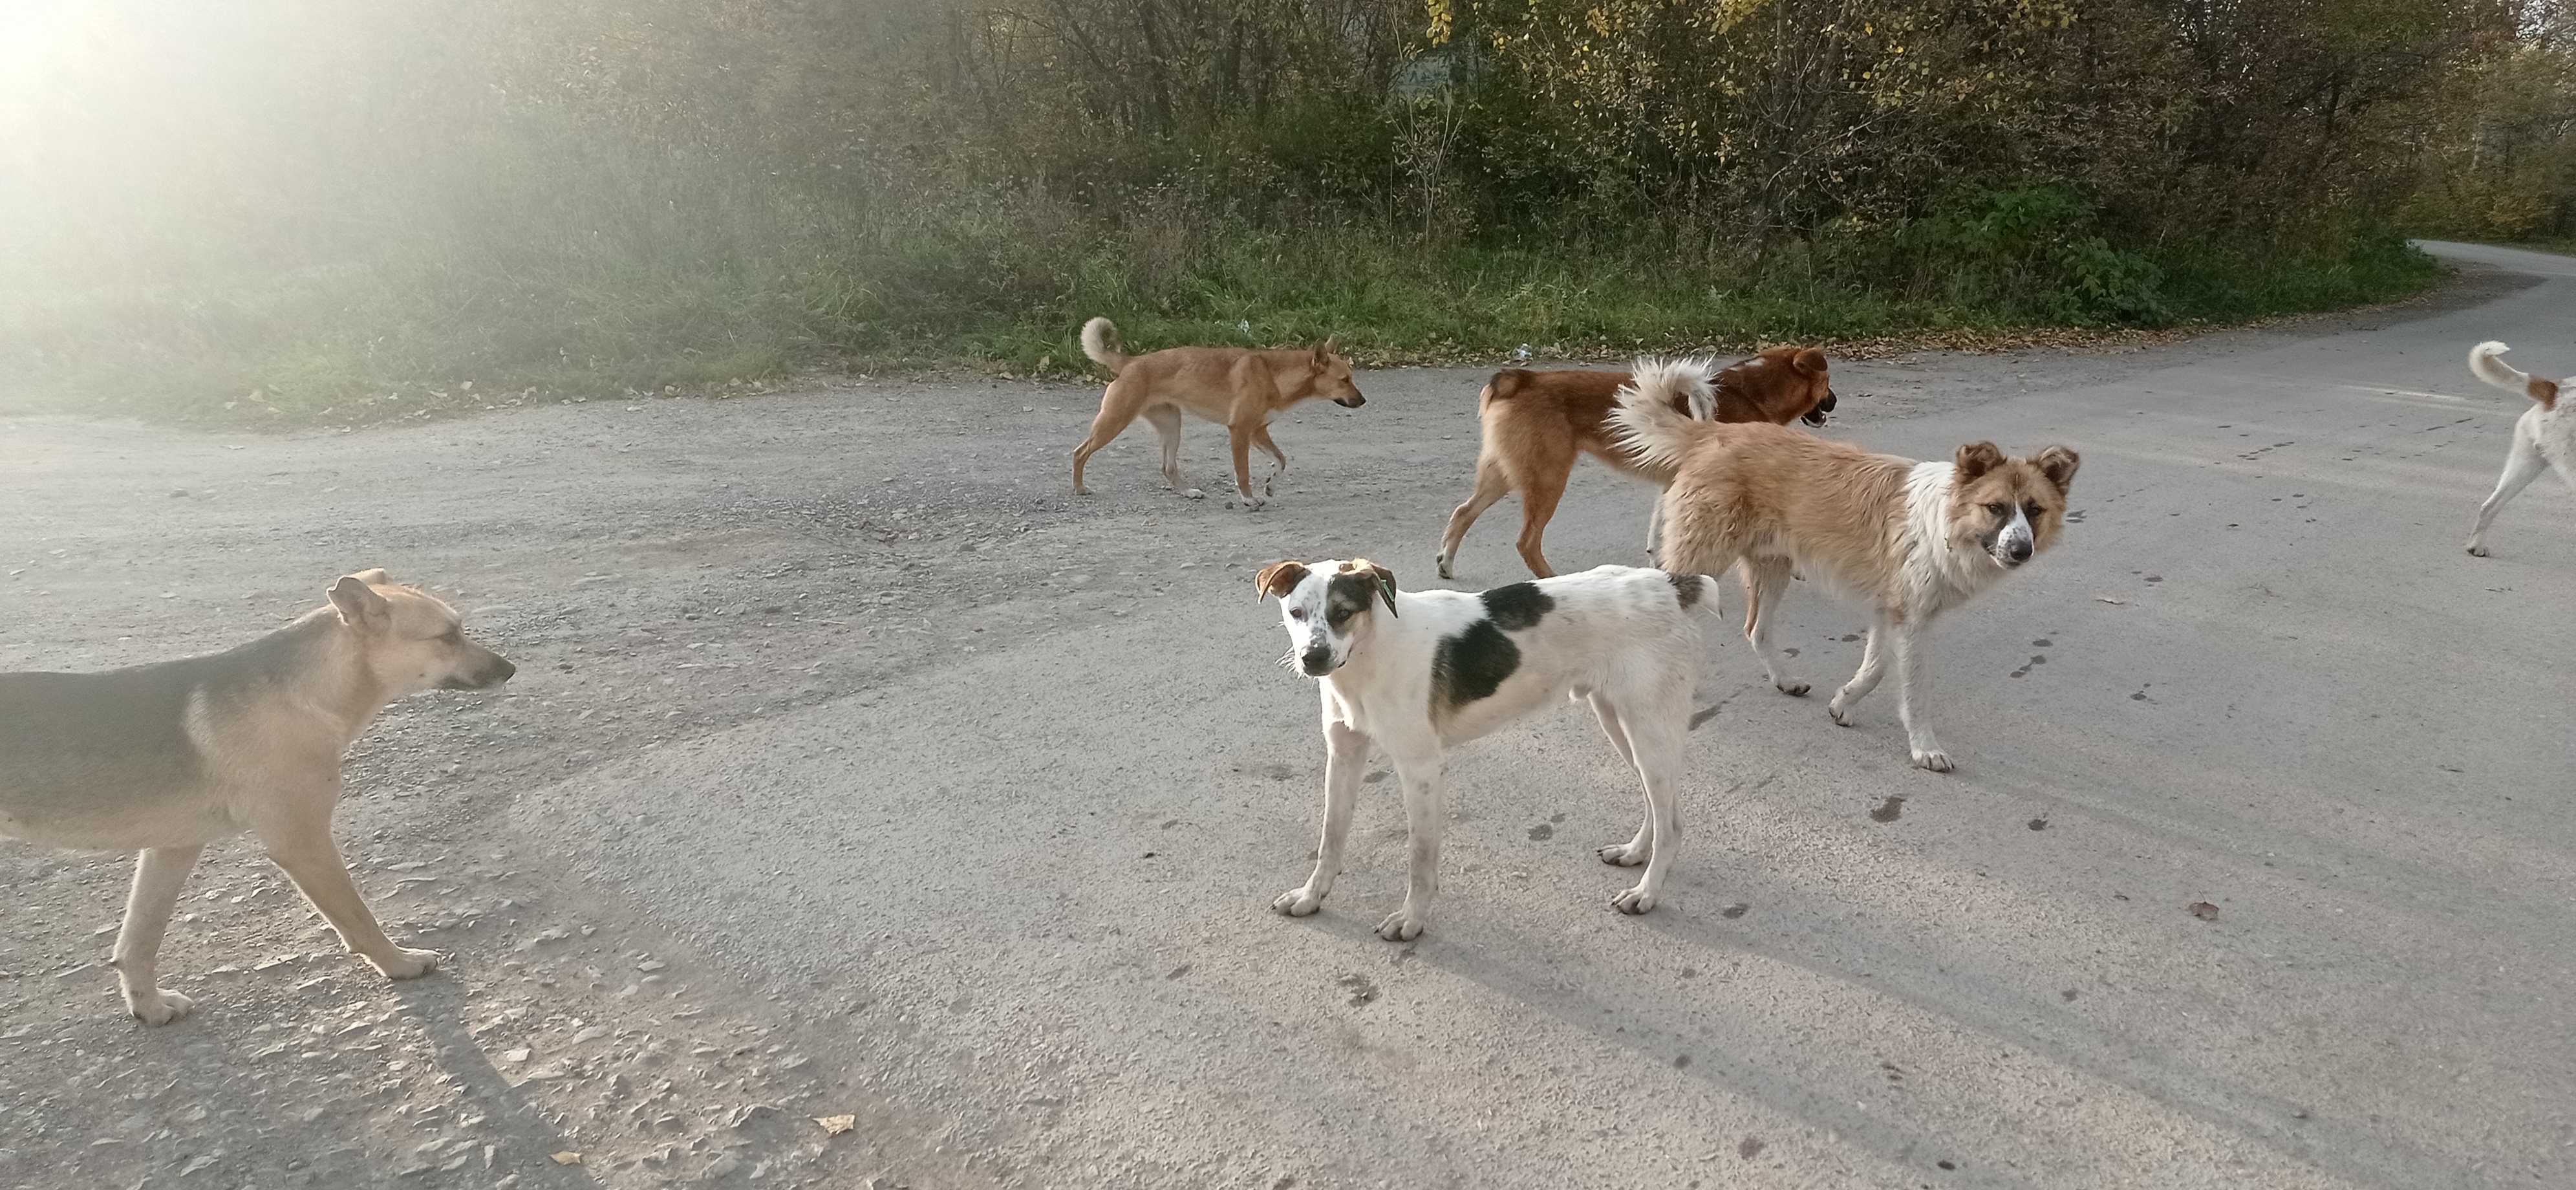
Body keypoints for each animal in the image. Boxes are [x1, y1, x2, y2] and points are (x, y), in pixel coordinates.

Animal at [1066, 315, 1370, 507]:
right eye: (1345, 380)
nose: (1363, 401)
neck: (1274, 376)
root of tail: (1130, 362)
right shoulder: (1240, 432)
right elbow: (1243, 472)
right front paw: (1249, 498)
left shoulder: (1258, 432)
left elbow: (1281, 460)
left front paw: (1271, 485)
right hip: (1114, 422)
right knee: (1080, 453)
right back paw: (1079, 488)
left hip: (1172, 428)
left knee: (1168, 467)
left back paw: (1188, 492)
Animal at [1257, 559, 1721, 937]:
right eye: (1295, 613)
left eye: (1343, 613)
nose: (1313, 658)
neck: (1370, 653)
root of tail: (1673, 585)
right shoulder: (1343, 755)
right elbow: (1330, 839)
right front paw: (1310, 897)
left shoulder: (1421, 769)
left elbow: (1420, 859)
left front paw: (1411, 920)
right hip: (1620, 722)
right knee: (1656, 805)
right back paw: (1635, 853)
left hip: (1649, 729)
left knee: (1673, 822)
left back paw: (1647, 893)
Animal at [1443, 345, 1844, 582]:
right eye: (1828, 381)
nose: (1835, 401)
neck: (1752, 392)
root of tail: (1521, 378)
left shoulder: (1675, 482)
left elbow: (1658, 528)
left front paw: (1660, 562)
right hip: (1547, 480)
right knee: (1527, 542)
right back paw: (1551, 578)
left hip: (1505, 475)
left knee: (1462, 514)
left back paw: (1445, 565)